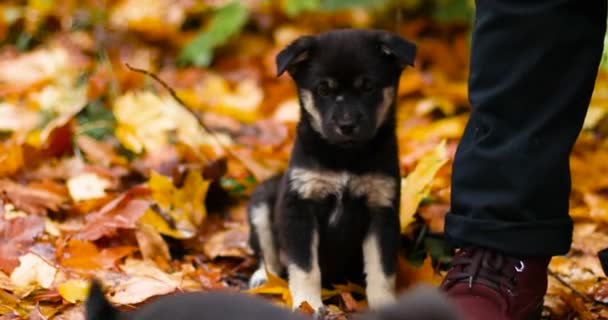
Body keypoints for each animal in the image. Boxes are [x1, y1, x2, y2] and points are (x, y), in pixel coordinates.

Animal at [247, 27, 418, 316]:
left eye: (368, 87)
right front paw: (307, 304)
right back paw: (263, 278)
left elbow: (382, 270)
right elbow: (305, 268)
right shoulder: (300, 206)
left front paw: (384, 307)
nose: (346, 125)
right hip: (261, 203)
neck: (345, 157)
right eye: (323, 89)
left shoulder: (381, 210)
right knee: (268, 257)